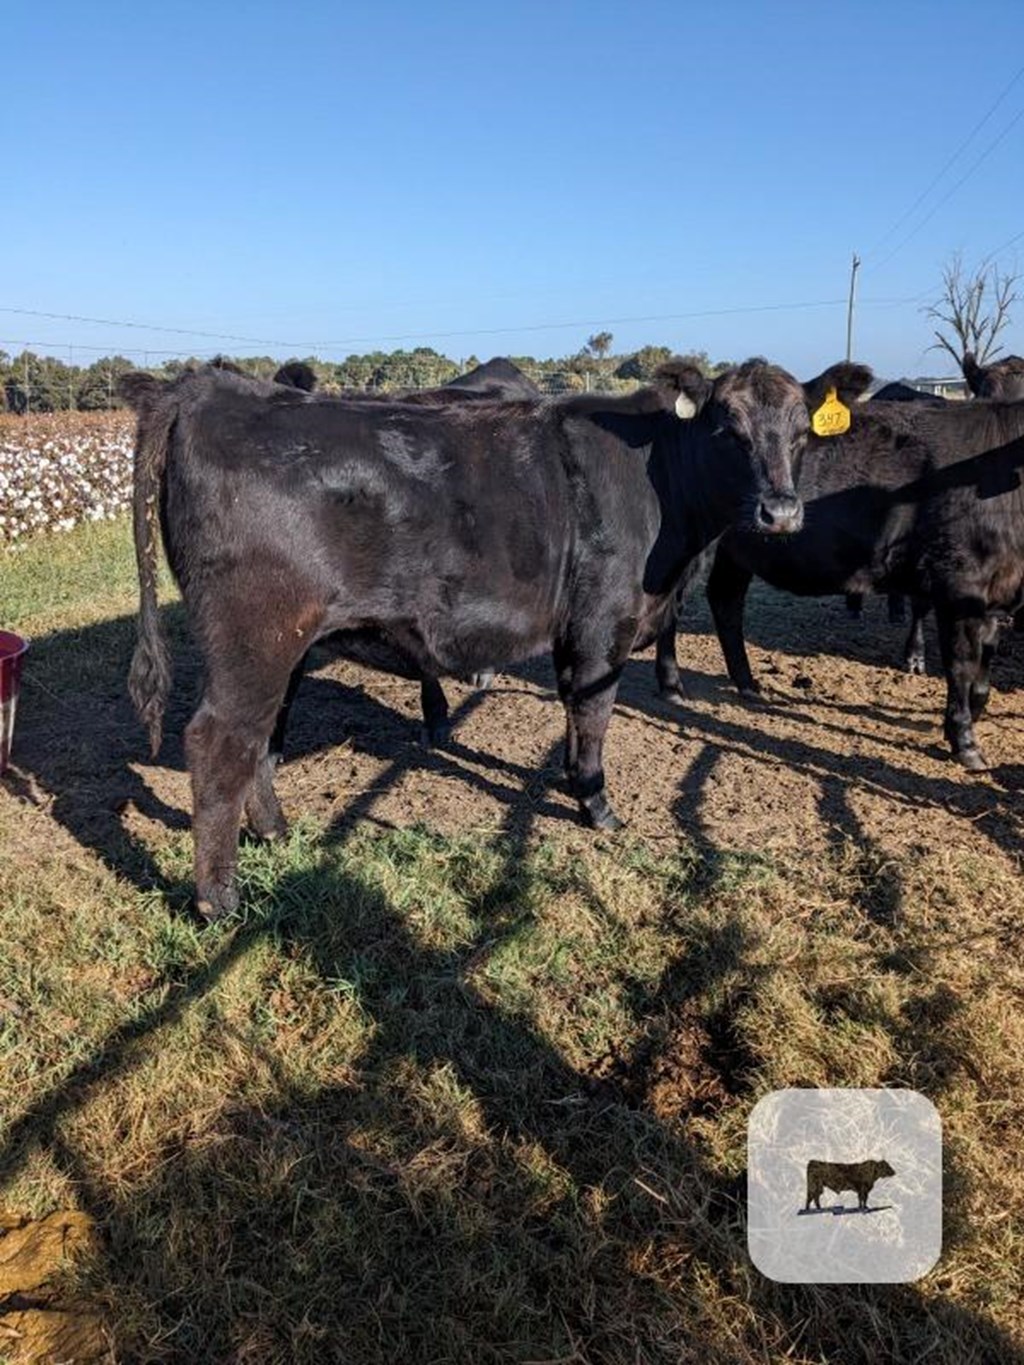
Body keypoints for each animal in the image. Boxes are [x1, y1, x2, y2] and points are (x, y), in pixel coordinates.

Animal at [120, 357, 862, 922]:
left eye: (802, 431)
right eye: (726, 428)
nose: (781, 511)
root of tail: (207, 387)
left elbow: (572, 710)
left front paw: (572, 783)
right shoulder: (602, 624)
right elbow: (594, 712)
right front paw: (598, 807)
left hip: (281, 645)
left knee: (260, 739)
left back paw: (274, 832)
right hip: (255, 636)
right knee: (221, 742)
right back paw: (220, 902)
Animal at [660, 395, 1024, 775]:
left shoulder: (994, 593)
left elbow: (986, 658)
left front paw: (975, 712)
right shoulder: (959, 584)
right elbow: (961, 664)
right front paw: (964, 741)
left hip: (736, 552)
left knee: (725, 601)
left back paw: (746, 684)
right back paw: (671, 685)